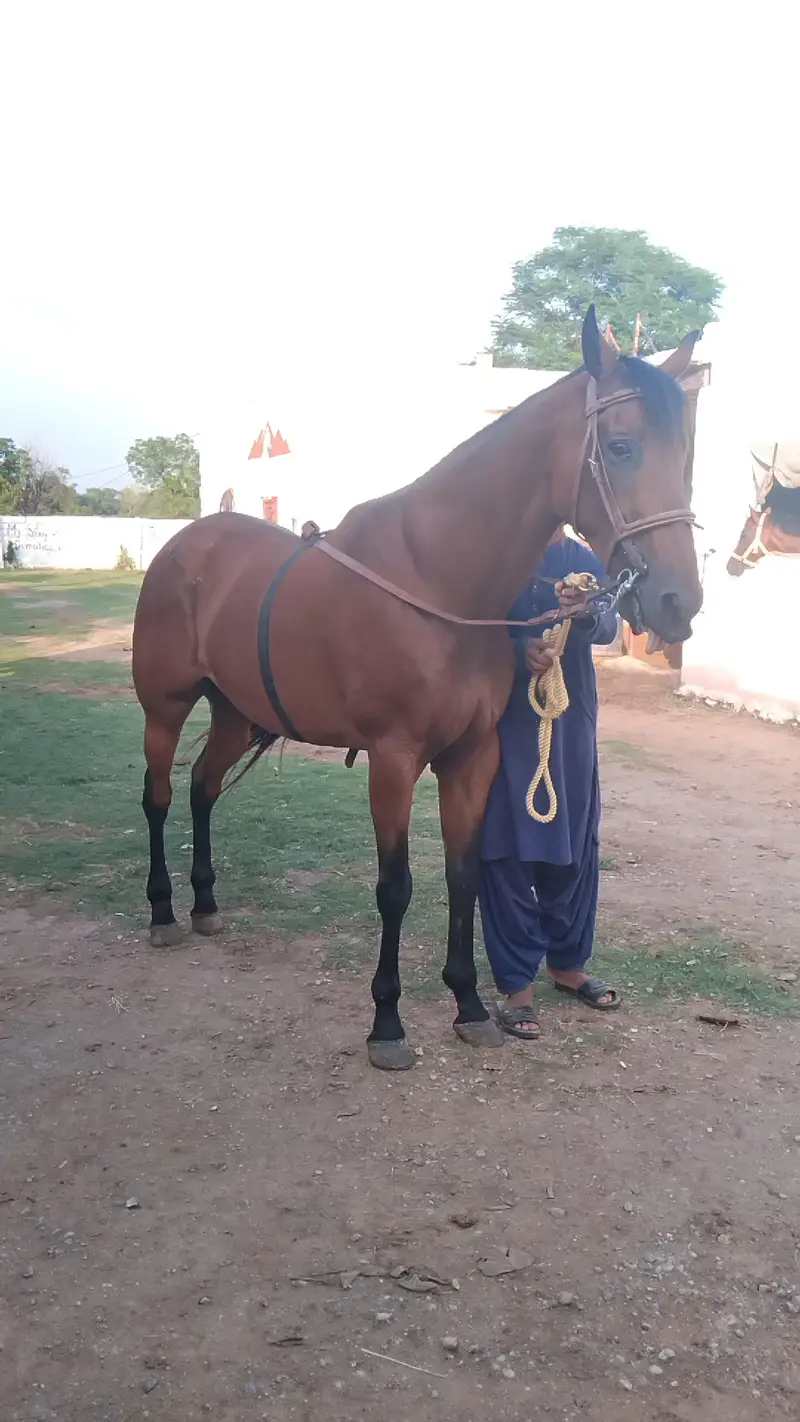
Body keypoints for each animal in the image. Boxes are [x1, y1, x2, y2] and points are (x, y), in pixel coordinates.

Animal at [132, 307, 702, 1071]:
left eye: (685, 452)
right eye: (619, 446)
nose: (678, 601)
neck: (437, 579)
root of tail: (184, 547)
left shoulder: (474, 756)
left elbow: (464, 876)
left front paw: (470, 1006)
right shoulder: (394, 758)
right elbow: (396, 888)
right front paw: (387, 1023)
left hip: (232, 709)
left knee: (202, 789)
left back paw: (203, 906)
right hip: (164, 707)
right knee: (161, 797)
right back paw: (164, 910)